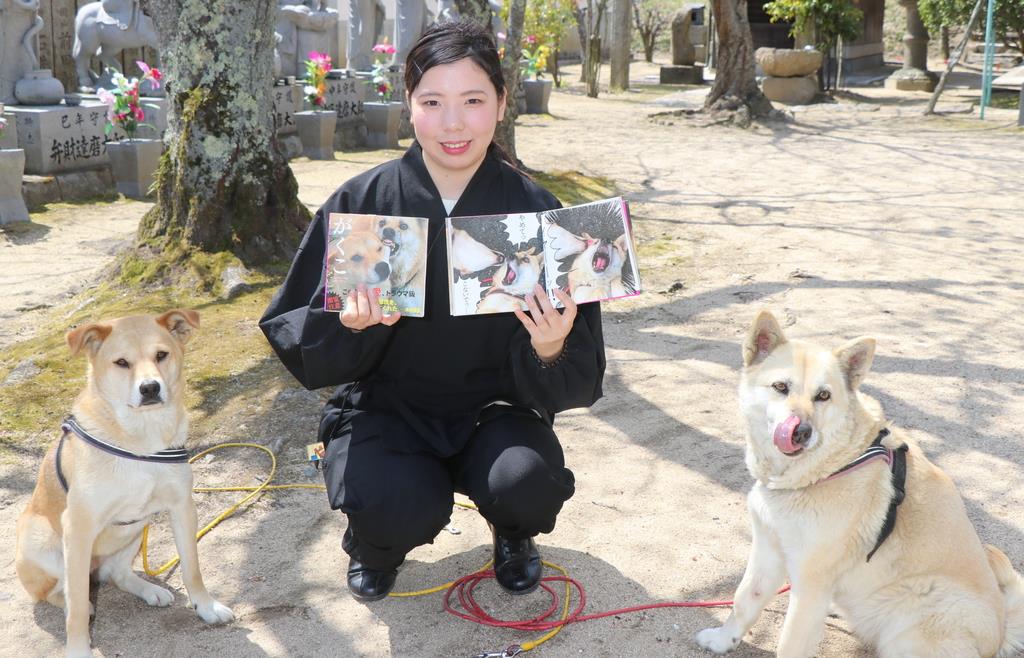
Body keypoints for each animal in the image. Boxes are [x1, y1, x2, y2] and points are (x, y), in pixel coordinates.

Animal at [15, 311, 232, 658]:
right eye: (121, 362)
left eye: (161, 355)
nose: (150, 388)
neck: (141, 439)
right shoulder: (78, 527)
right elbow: (77, 608)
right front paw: (78, 650)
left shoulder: (182, 508)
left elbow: (192, 568)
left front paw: (206, 606)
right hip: (43, 542)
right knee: (59, 593)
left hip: (137, 528)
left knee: (118, 574)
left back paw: (149, 590)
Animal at [696, 311, 1024, 658]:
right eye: (780, 387)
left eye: (823, 395)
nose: (801, 432)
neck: (832, 464)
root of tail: (999, 635)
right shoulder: (768, 549)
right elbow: (745, 599)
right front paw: (723, 639)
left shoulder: (809, 585)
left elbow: (790, 643)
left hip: (910, 625)